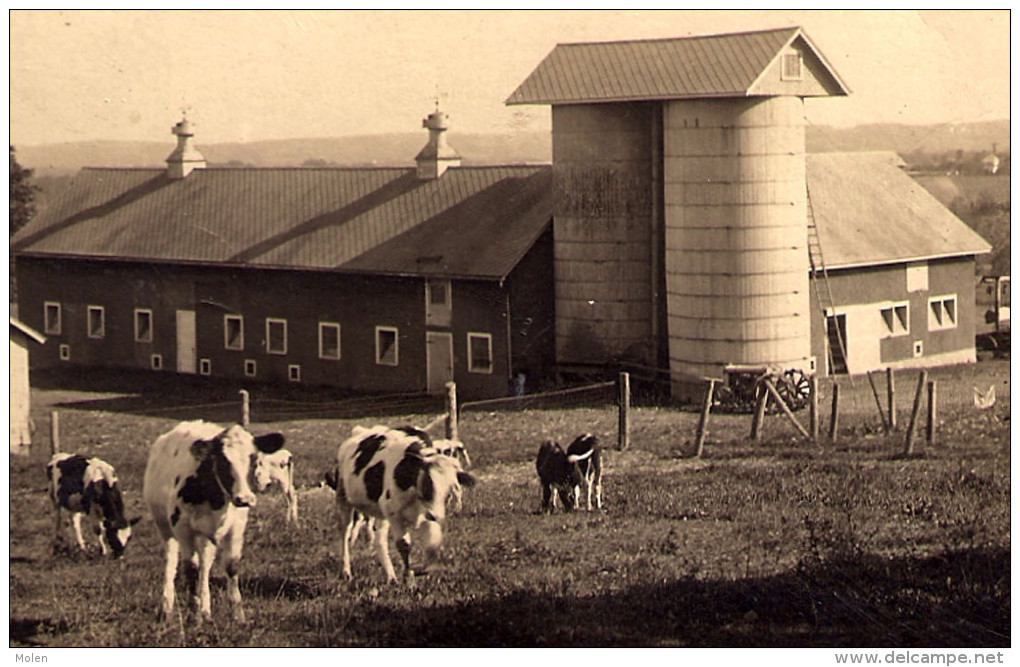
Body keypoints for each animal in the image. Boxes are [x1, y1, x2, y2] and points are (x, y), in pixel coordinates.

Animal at [141, 420, 285, 624]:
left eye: (254, 458)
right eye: (223, 461)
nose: (245, 499)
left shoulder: (237, 527)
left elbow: (231, 567)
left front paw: (238, 615)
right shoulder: (183, 529)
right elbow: (190, 569)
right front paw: (193, 615)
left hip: (206, 537)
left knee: (205, 565)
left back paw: (206, 610)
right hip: (164, 527)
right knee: (172, 562)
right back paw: (167, 608)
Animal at [334, 426, 477, 587]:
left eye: (449, 492)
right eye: (428, 484)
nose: (436, 516)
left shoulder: (425, 514)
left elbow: (433, 543)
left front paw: (427, 569)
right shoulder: (394, 512)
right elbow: (404, 544)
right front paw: (408, 578)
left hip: (380, 512)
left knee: (380, 540)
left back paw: (390, 576)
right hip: (343, 498)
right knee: (345, 532)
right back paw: (346, 571)